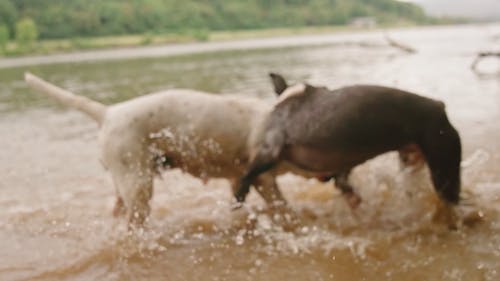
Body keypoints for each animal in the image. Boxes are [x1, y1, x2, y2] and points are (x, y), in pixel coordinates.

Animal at [25, 72, 292, 225]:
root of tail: (109, 112)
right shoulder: (264, 179)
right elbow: (281, 206)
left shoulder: (237, 179)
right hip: (138, 185)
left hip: (124, 183)